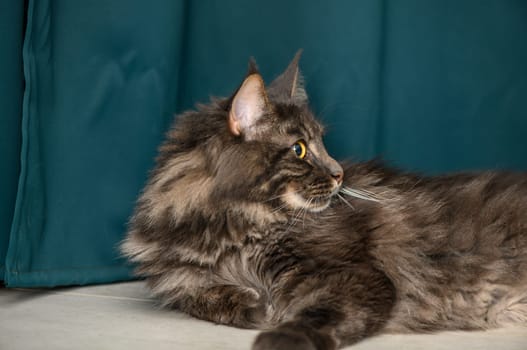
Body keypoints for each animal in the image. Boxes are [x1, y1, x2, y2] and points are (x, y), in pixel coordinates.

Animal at [121, 52, 527, 350]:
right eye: (300, 149)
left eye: (322, 143)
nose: (339, 173)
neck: (230, 233)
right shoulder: (180, 281)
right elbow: (201, 299)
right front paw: (252, 305)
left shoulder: (355, 275)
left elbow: (317, 315)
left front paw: (278, 336)